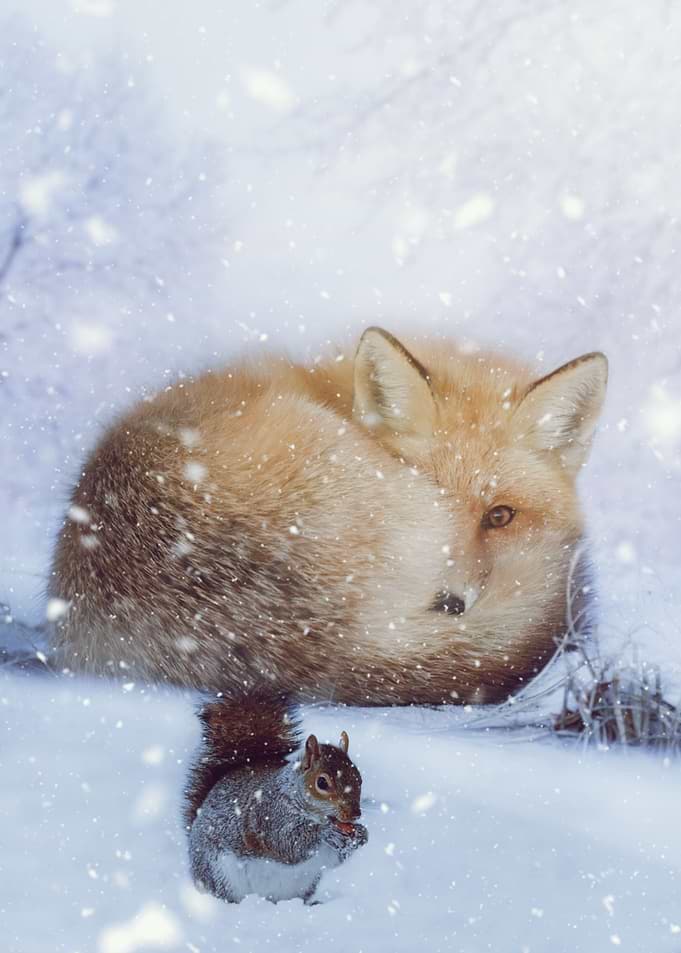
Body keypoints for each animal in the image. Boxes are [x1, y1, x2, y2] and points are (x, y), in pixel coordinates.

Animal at [183, 694, 368, 904]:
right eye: (322, 782)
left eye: (359, 777)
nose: (355, 814)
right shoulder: (269, 814)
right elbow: (286, 843)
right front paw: (325, 832)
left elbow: (333, 860)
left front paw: (362, 835)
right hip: (219, 873)